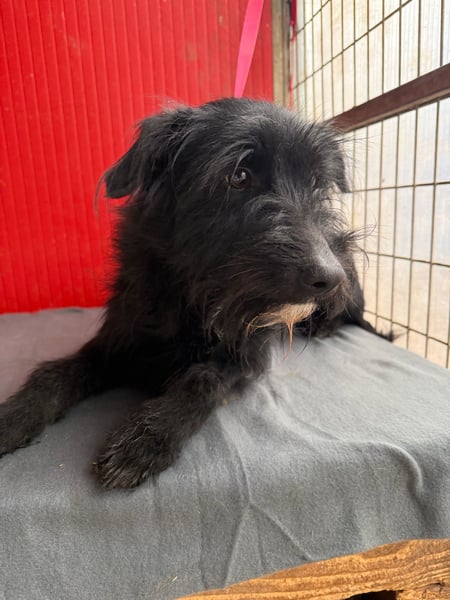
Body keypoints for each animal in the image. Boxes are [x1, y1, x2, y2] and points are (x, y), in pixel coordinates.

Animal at [0, 98, 385, 489]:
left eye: (315, 183)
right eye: (239, 176)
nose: (330, 278)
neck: (196, 297)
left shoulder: (246, 355)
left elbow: (202, 380)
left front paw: (149, 435)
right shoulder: (118, 340)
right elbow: (56, 372)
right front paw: (13, 417)